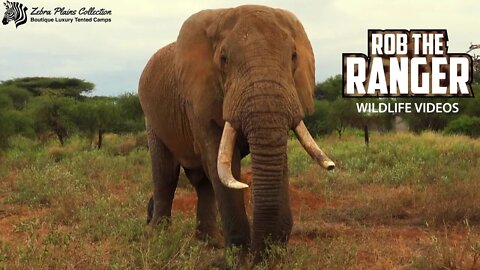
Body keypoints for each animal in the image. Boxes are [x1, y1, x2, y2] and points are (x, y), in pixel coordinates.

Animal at [137, 4, 336, 260]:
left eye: (293, 56)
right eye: (224, 59)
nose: (262, 256)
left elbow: (278, 162)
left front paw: (272, 255)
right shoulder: (198, 101)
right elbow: (223, 163)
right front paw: (239, 259)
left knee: (203, 182)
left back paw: (211, 242)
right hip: (153, 119)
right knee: (166, 174)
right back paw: (157, 237)